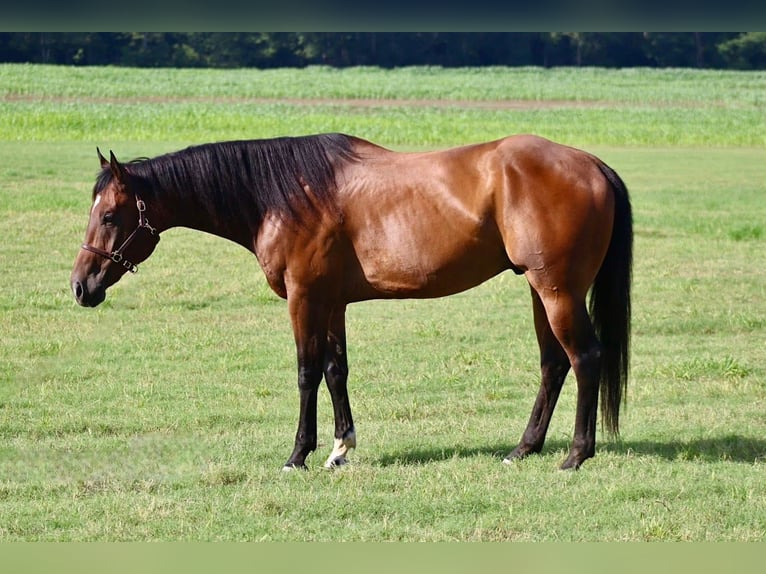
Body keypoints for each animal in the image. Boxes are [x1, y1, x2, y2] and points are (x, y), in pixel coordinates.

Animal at [70, 132, 632, 471]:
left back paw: (576, 456)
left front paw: (298, 454)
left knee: (585, 358)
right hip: (541, 290)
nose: (81, 286)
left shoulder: (304, 298)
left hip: (557, 291)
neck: (284, 195)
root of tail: (591, 164)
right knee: (553, 364)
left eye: (111, 215)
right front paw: (340, 448)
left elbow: (306, 372)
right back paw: (523, 448)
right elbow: (335, 370)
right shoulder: (332, 302)